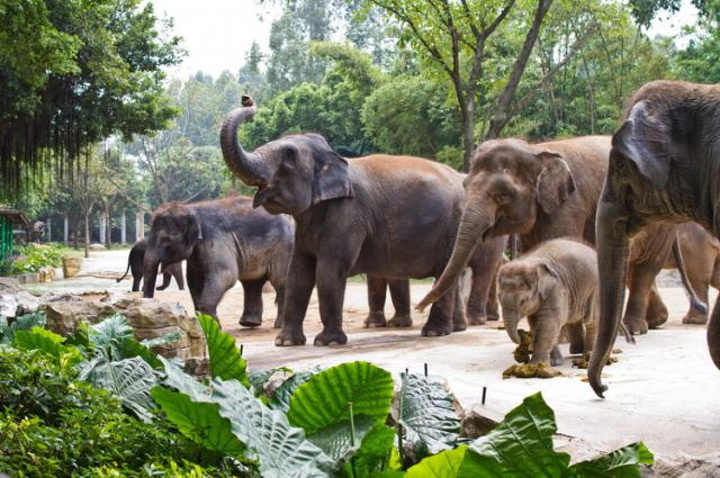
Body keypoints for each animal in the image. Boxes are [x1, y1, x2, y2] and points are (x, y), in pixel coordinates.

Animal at [142, 195, 294, 328]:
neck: (191, 208)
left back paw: (279, 325)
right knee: (252, 282)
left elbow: (226, 275)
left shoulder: (216, 239)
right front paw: (204, 325)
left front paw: (214, 327)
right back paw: (249, 323)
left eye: (165, 240)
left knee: (280, 281)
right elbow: (194, 279)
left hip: (284, 249)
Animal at [219, 95, 506, 346]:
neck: (335, 158)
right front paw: (286, 342)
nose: (247, 99)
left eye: (288, 158)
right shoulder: (306, 225)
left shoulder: (348, 215)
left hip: (452, 228)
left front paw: (328, 342)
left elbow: (330, 269)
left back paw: (435, 333)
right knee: (450, 274)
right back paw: (451, 330)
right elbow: (298, 273)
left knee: (447, 270)